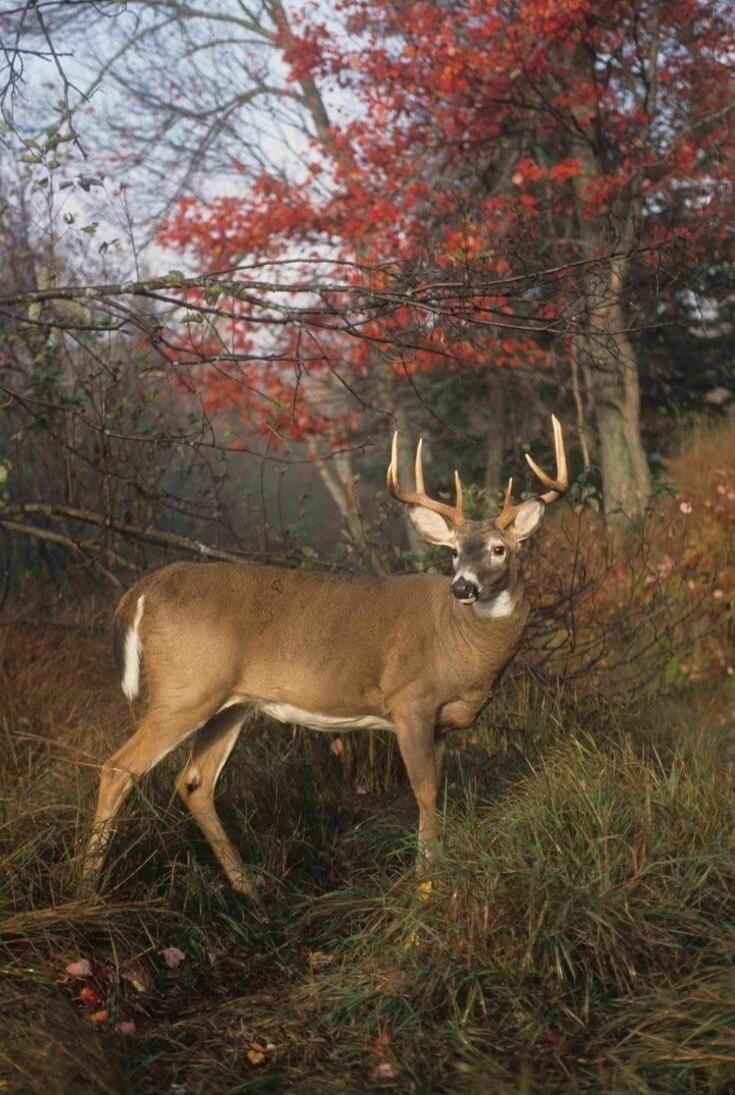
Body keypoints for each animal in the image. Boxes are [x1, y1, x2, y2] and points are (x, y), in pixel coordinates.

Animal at [83, 417, 567, 905]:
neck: (461, 644)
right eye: (453, 552)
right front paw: (426, 883)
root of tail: (144, 590)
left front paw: (435, 870)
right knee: (118, 768)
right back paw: (85, 886)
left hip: (230, 703)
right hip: (185, 688)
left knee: (194, 783)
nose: (463, 587)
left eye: (499, 549)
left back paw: (250, 886)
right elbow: (425, 791)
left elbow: (438, 791)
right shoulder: (410, 700)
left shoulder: (442, 724)